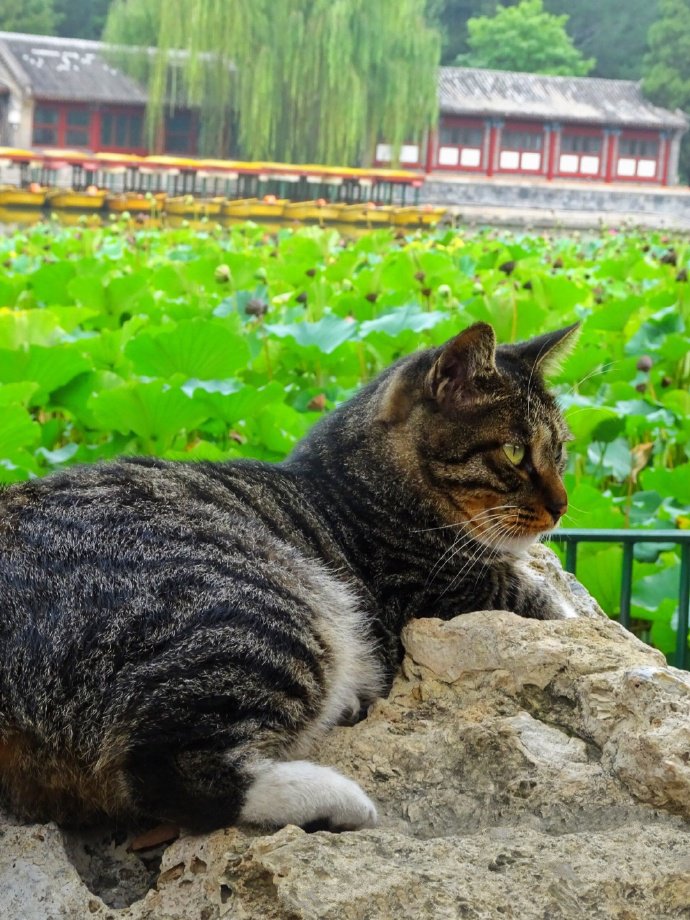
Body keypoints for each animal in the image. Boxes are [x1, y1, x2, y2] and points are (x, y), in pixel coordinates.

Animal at [0, 320, 576, 832]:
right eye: (515, 451)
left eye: (561, 452)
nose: (563, 506)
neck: (355, 487)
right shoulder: (442, 596)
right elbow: (551, 607)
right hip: (267, 612)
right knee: (177, 778)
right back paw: (338, 799)